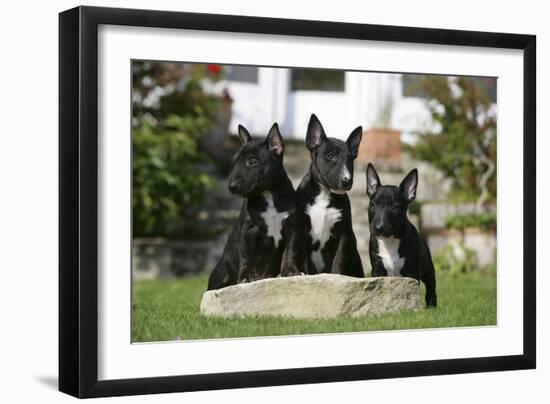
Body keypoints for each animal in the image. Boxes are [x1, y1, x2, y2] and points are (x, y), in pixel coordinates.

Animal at [208, 124, 306, 290]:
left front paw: (291, 272)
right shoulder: (249, 230)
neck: (268, 195)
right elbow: (246, 257)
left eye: (253, 162)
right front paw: (245, 278)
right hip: (220, 276)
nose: (231, 186)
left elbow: (290, 251)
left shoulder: (293, 226)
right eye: (234, 162)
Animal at [298, 113, 366, 278]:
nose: (347, 180)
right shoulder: (301, 229)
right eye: (330, 156)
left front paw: (337, 276)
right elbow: (303, 256)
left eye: (350, 159)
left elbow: (339, 258)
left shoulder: (345, 234)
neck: (325, 194)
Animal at [366, 163, 440, 306]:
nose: (378, 227)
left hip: (429, 270)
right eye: (372, 204)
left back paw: (431, 306)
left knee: (431, 289)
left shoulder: (411, 273)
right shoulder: (378, 270)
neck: (390, 240)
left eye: (395, 206)